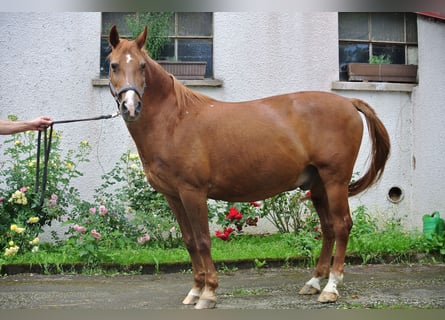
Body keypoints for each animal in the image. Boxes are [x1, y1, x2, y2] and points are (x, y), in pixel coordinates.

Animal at [106, 26, 388, 308]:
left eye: (142, 66)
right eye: (113, 65)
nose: (131, 107)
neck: (175, 120)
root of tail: (349, 102)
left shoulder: (193, 192)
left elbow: (202, 240)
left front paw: (208, 293)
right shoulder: (173, 196)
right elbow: (189, 241)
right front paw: (195, 290)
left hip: (335, 181)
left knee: (342, 226)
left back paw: (331, 287)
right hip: (318, 185)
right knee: (328, 229)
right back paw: (314, 282)